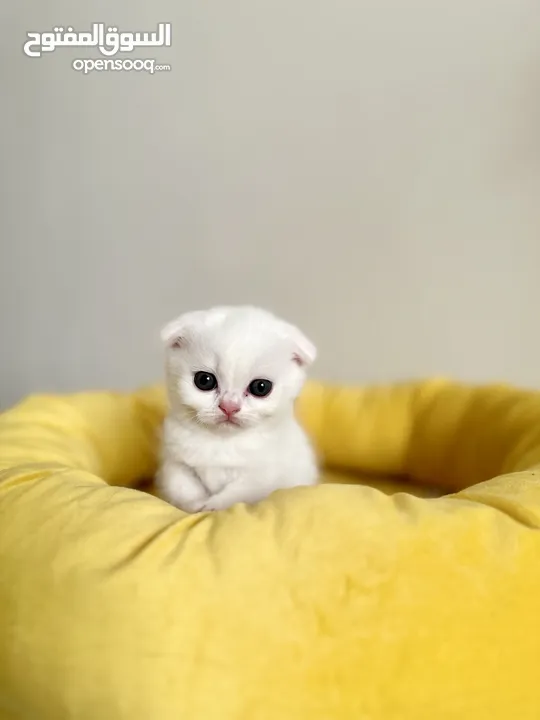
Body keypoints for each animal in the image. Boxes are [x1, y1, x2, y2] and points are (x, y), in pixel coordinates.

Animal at [154, 304, 318, 512]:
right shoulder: (175, 462)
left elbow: (239, 494)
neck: (222, 442)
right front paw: (195, 505)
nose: (229, 406)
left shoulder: (262, 476)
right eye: (204, 380)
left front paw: (212, 507)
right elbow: (182, 486)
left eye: (261, 387)